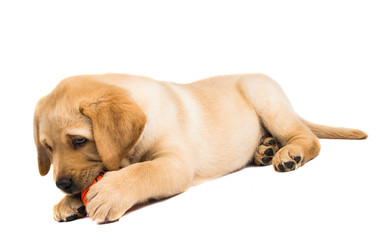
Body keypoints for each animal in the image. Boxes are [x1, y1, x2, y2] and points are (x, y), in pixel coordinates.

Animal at [34, 72, 368, 222]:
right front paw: (70, 202)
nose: (62, 184)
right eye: (48, 148)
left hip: (266, 99)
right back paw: (265, 150)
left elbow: (144, 171)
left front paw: (110, 192)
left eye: (79, 141)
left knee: (308, 138)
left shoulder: (175, 163)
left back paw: (288, 154)